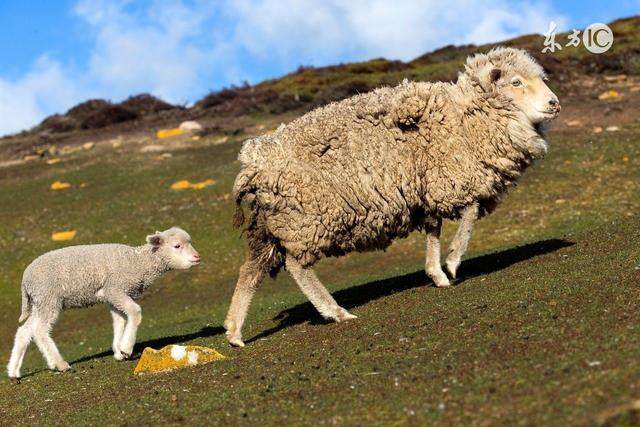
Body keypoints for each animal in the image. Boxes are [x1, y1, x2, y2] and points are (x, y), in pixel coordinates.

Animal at [5, 227, 200, 382]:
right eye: (177, 246)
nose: (197, 257)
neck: (138, 263)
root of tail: (26, 279)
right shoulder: (115, 288)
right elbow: (135, 312)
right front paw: (126, 348)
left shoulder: (112, 296)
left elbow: (119, 321)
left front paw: (118, 351)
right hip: (49, 298)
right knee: (39, 331)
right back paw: (60, 364)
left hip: (39, 302)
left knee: (25, 331)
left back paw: (14, 371)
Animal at [224, 47, 560, 348]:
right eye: (515, 82)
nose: (554, 103)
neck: (466, 117)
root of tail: (253, 162)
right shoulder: (453, 178)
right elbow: (469, 215)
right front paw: (452, 262)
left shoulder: (428, 188)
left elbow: (435, 229)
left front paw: (436, 273)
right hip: (305, 217)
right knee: (296, 266)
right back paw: (335, 312)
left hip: (271, 224)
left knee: (251, 269)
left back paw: (234, 332)